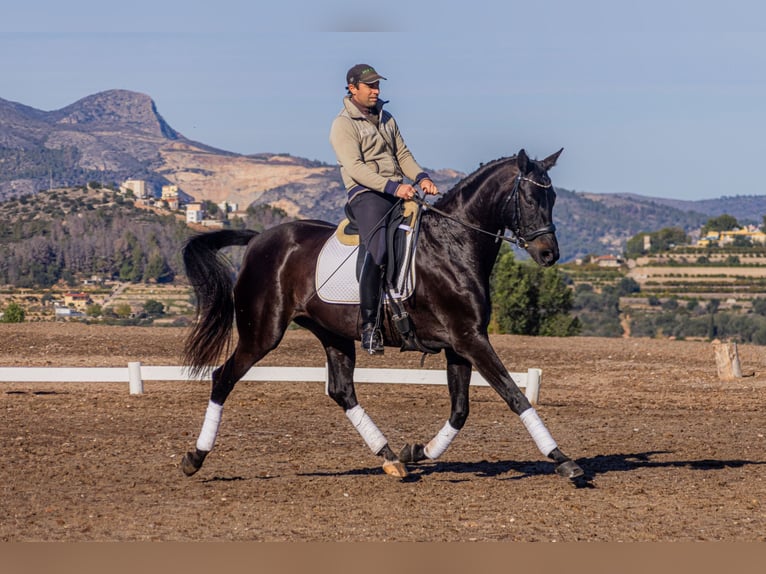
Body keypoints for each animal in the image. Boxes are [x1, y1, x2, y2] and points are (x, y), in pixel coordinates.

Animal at [182, 148, 584, 482]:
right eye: (530, 198)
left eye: (553, 198)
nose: (549, 254)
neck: (453, 243)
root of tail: (257, 240)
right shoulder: (470, 339)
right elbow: (515, 395)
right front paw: (563, 460)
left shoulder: (459, 343)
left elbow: (460, 409)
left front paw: (417, 451)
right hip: (262, 333)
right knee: (222, 378)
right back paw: (194, 458)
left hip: (333, 333)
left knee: (342, 391)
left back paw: (391, 458)